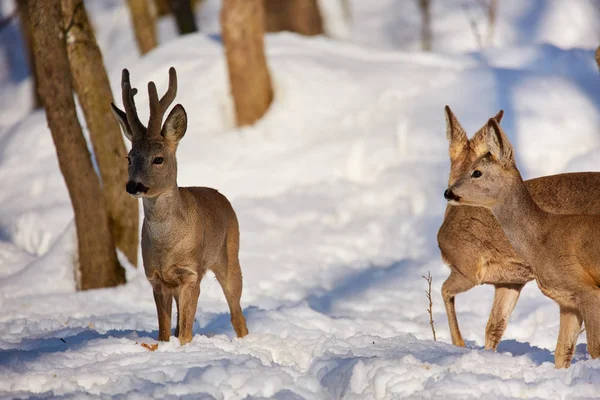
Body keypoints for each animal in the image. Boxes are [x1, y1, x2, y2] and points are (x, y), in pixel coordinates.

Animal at [111, 68, 247, 344]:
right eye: (129, 157)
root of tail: (222, 197)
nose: (133, 185)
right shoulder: (156, 278)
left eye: (158, 159)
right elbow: (165, 333)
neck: (166, 246)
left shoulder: (191, 274)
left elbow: (185, 333)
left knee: (237, 313)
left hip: (230, 255)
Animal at [438, 107, 600, 354]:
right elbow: (494, 327)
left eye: (477, 172)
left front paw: (459, 345)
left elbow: (446, 291)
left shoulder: (468, 267)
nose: (448, 192)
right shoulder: (510, 281)